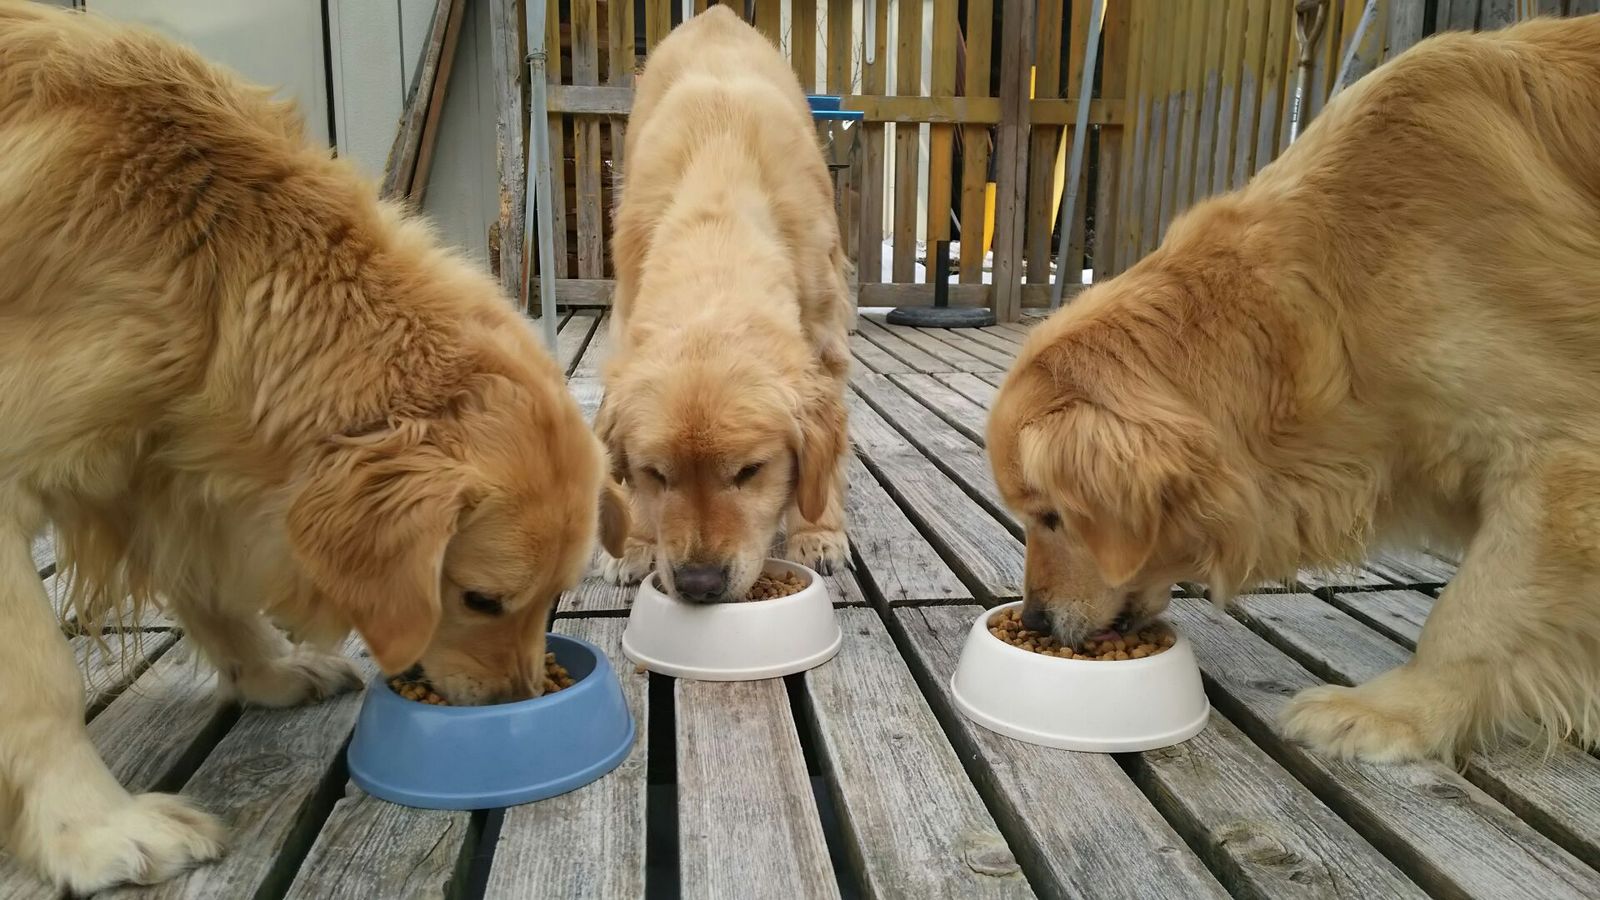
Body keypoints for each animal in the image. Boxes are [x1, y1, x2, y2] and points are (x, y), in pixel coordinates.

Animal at [0, 4, 626, 891]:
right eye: (479, 600)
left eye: (555, 599)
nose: (515, 706)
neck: (209, 266)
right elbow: (38, 677)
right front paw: (92, 828)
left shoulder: (164, 460)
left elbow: (209, 582)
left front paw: (266, 671)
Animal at [595, 7, 852, 603]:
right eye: (656, 474)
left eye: (750, 471)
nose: (699, 584)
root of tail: (718, 14)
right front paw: (637, 541)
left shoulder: (825, 337)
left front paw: (817, 533)